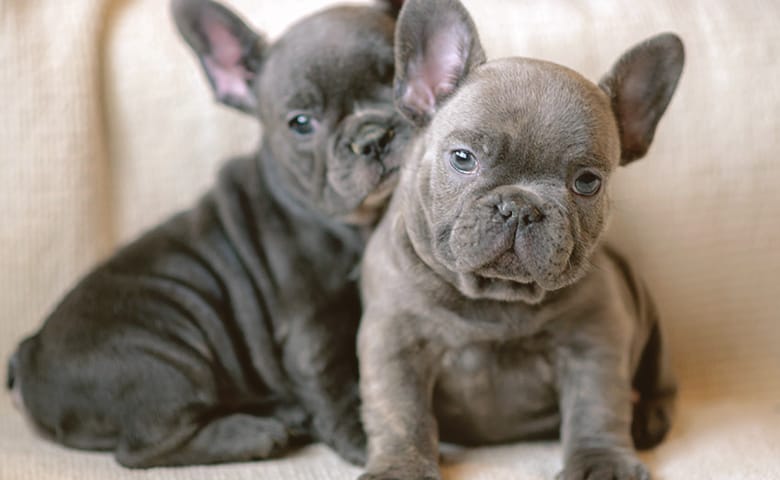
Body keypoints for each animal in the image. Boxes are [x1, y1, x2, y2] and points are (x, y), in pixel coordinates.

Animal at [6, 0, 412, 466]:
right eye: (301, 123)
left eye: (398, 79)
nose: (373, 136)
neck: (355, 223)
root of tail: (27, 355)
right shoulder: (312, 326)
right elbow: (335, 380)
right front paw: (365, 438)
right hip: (165, 355)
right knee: (143, 448)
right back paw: (255, 434)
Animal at [358, 0, 684, 480]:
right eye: (463, 159)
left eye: (587, 182)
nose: (520, 206)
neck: (496, 296)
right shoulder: (395, 342)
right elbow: (401, 411)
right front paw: (401, 467)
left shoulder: (594, 342)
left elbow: (597, 406)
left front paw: (603, 462)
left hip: (654, 331)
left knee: (658, 384)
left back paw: (648, 420)